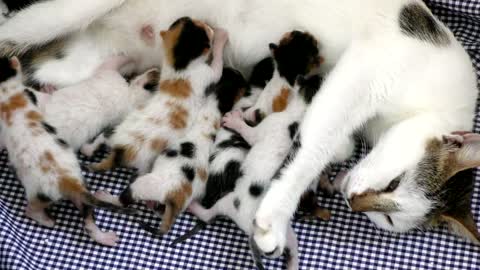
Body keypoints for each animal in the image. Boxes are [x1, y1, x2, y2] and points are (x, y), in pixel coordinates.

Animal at [91, 17, 229, 176]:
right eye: (205, 29)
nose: (211, 26)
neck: (179, 65)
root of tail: (120, 150)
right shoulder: (207, 73)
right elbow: (218, 65)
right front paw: (221, 38)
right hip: (143, 162)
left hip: (114, 133)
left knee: (103, 136)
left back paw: (87, 149)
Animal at [96, 68, 249, 235]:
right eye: (234, 75)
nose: (240, 73)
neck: (215, 105)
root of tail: (174, 198)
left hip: (143, 185)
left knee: (123, 200)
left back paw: (106, 196)